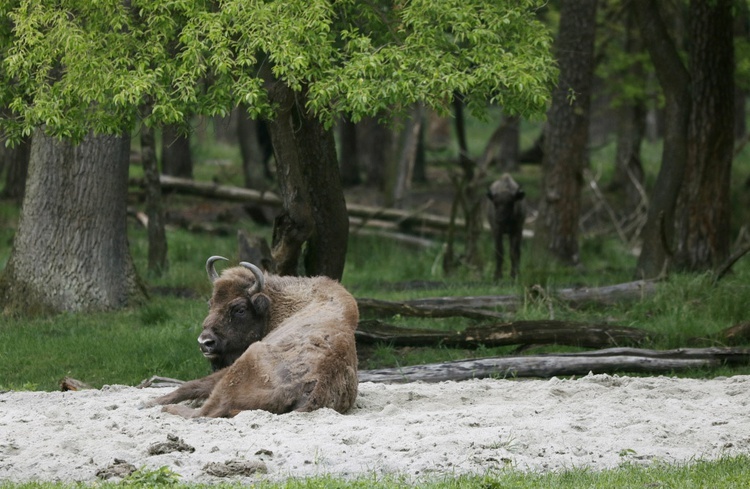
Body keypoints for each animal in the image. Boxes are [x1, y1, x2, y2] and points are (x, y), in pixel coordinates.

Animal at [151, 254, 362, 418]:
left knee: (205, 411)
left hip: (242, 365)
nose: (205, 343)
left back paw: (166, 407)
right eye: (211, 303)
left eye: (240, 309)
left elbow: (192, 384)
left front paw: (152, 401)